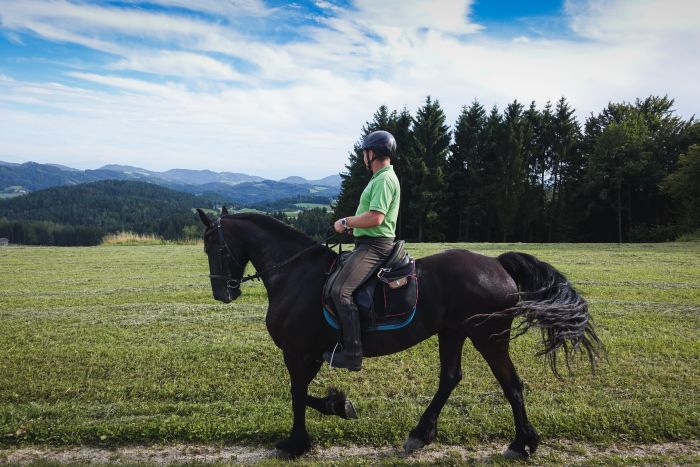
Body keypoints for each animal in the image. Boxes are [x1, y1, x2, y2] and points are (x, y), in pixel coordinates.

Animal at [196, 209, 600, 460]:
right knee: (450, 378)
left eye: (212, 246)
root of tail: (496, 263)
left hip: (489, 336)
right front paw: (339, 405)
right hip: (452, 332)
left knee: (511, 384)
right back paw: (421, 434)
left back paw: (523, 443)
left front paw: (297, 442)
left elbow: (297, 395)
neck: (294, 274)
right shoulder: (307, 354)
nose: (222, 292)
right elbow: (303, 394)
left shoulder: (298, 353)